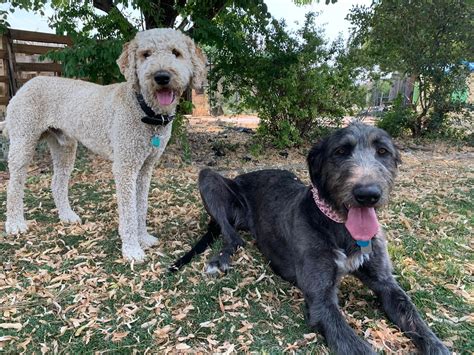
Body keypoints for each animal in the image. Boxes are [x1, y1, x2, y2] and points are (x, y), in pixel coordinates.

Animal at [2, 27, 206, 262]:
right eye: (145, 54)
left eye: (176, 53)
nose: (161, 76)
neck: (144, 109)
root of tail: (27, 84)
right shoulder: (125, 167)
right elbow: (129, 211)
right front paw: (132, 249)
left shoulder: (145, 168)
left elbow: (141, 206)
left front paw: (143, 238)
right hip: (23, 142)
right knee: (14, 186)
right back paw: (15, 224)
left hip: (64, 147)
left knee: (56, 183)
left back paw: (67, 215)